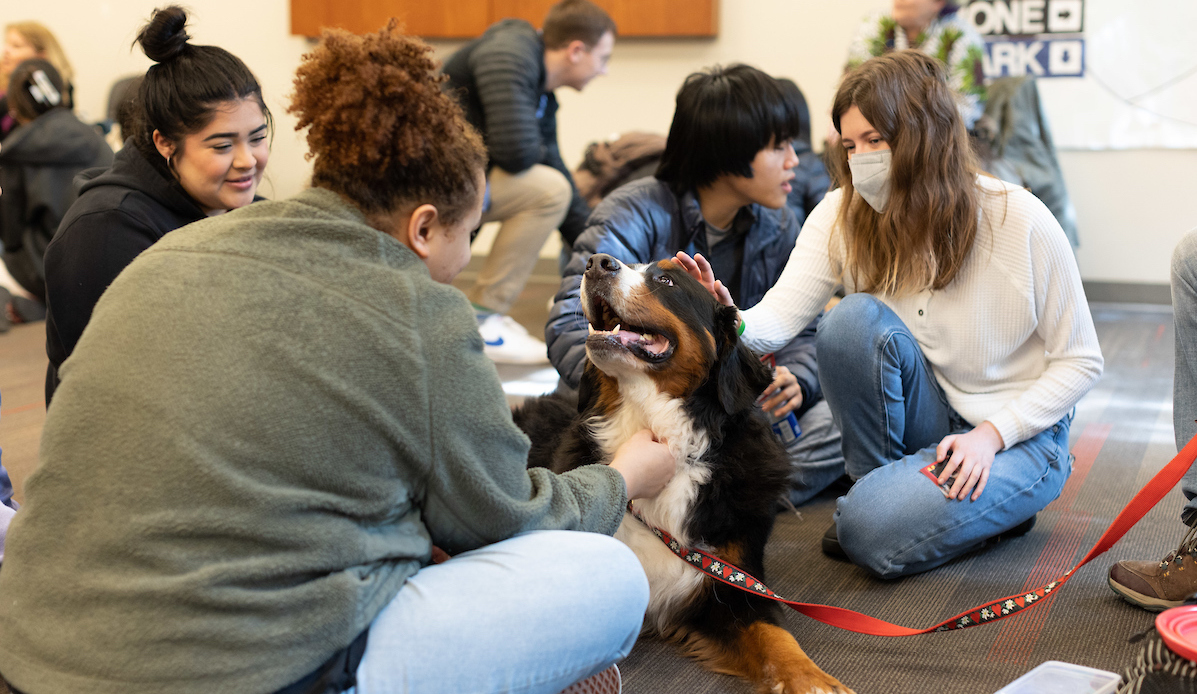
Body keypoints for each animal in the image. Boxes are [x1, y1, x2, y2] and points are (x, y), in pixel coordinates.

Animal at [514, 254, 852, 694]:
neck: (655, 427)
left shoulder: (732, 580)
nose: (596, 262)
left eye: (666, 280)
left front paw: (814, 680)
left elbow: (776, 637)